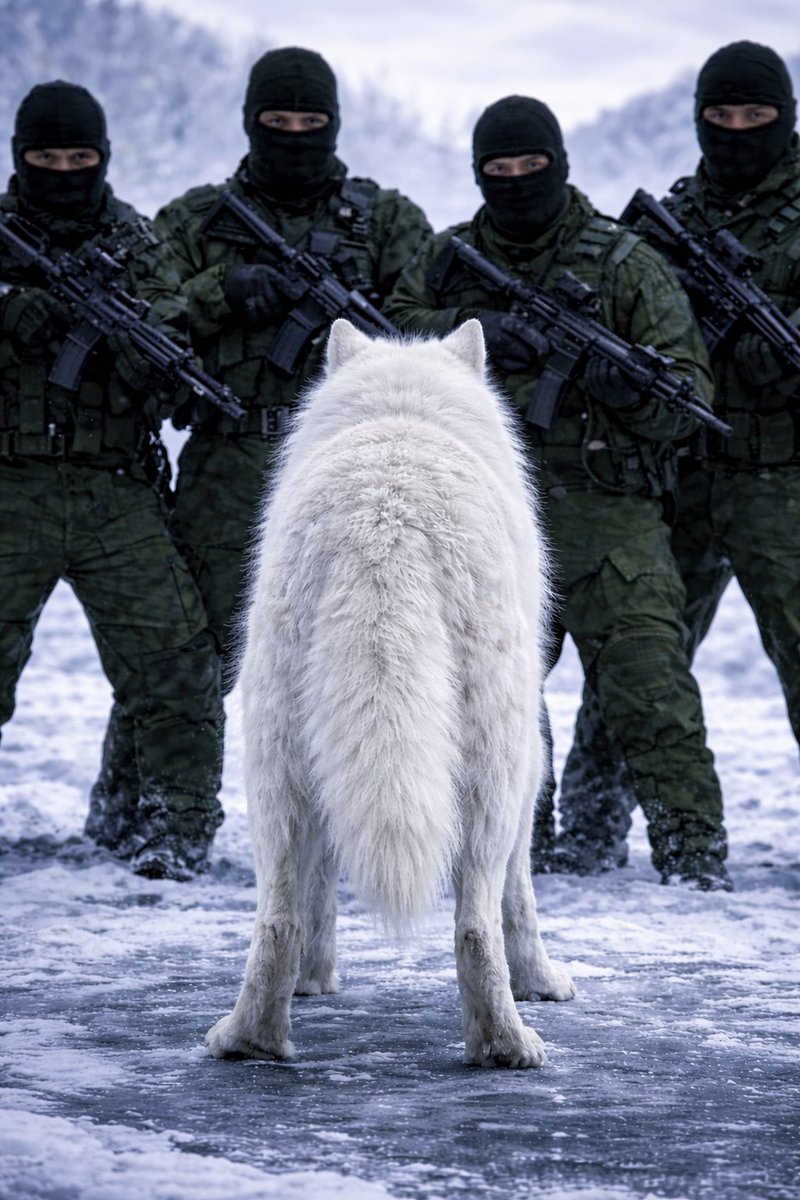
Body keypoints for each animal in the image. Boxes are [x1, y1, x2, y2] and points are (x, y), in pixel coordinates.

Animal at [206, 318, 575, 1069]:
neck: (401, 412)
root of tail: (384, 525)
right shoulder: (532, 761)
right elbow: (520, 895)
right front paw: (543, 982)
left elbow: (318, 892)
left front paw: (316, 981)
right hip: (491, 773)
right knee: (475, 923)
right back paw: (507, 1045)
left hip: (277, 765)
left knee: (278, 916)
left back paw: (251, 1040)